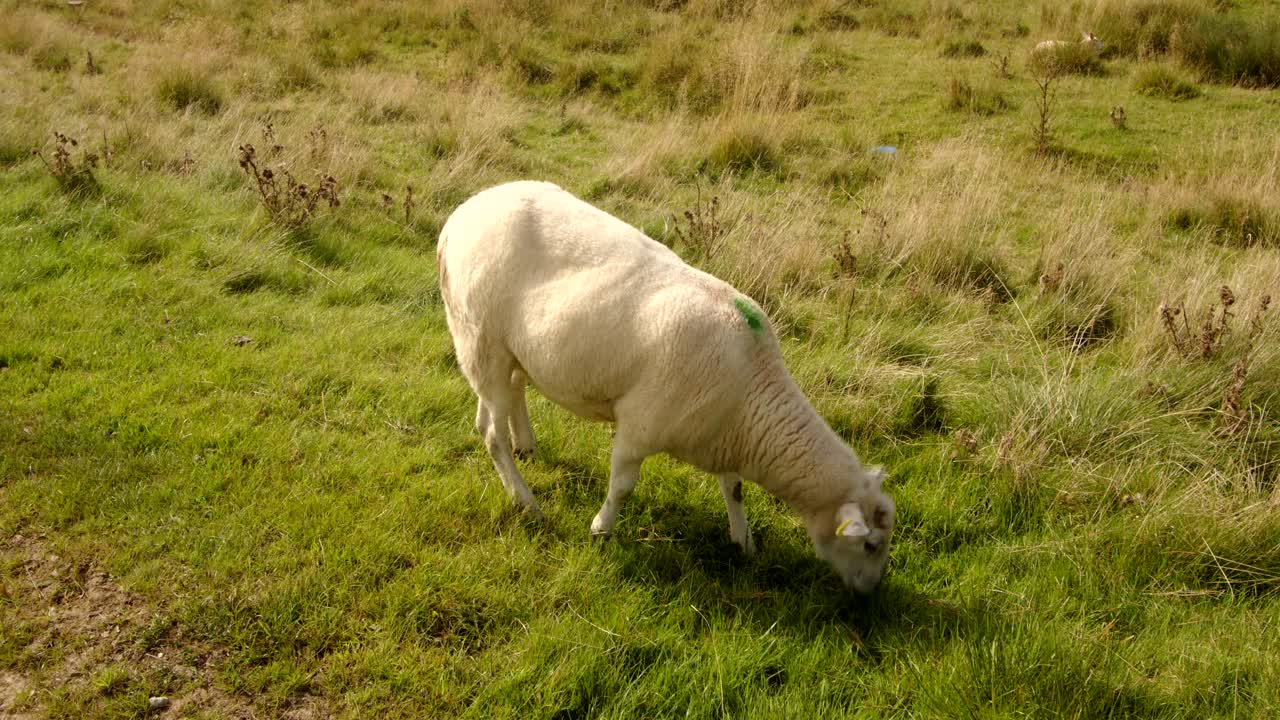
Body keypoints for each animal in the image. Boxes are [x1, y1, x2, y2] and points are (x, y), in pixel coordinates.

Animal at [437, 181, 896, 593]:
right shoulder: (640, 427)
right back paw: (527, 503)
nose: (871, 594)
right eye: (871, 545)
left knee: (508, 397)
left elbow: (734, 489)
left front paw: (743, 541)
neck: (753, 399)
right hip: (480, 339)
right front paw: (601, 529)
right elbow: (622, 486)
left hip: (509, 350)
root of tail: (461, 214)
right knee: (490, 432)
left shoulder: (722, 433)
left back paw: (527, 446)